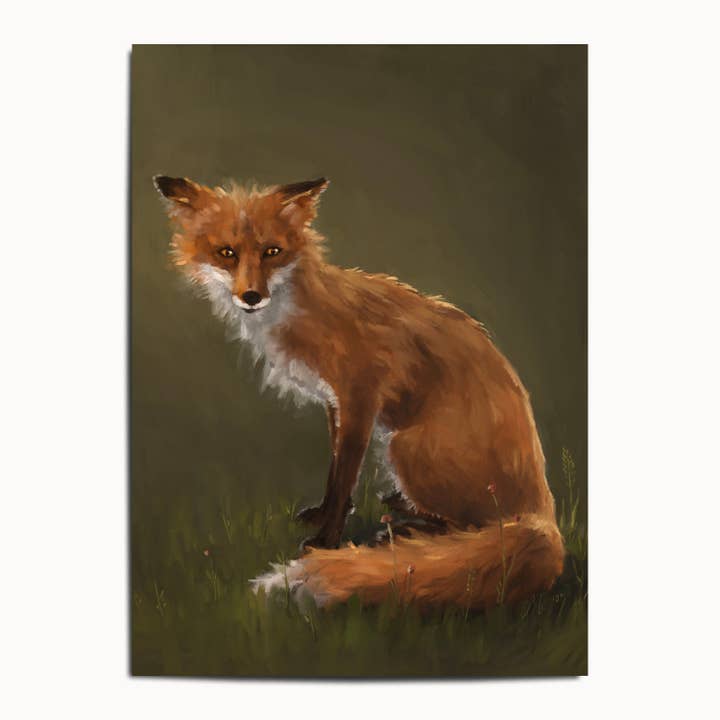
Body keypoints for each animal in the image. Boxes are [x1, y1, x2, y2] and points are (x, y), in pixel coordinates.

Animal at [154, 174, 564, 611]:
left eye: (272, 252)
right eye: (226, 253)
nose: (251, 296)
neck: (302, 310)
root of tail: (543, 510)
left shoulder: (360, 397)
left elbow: (344, 478)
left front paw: (325, 541)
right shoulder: (334, 402)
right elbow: (335, 472)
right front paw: (323, 515)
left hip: (403, 447)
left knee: (478, 528)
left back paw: (407, 530)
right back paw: (403, 510)